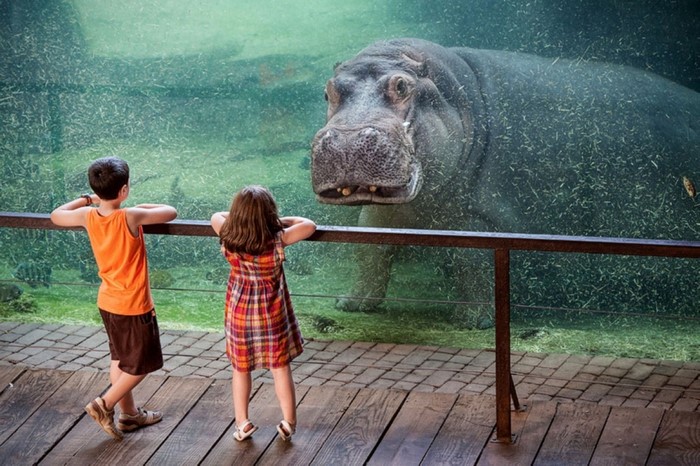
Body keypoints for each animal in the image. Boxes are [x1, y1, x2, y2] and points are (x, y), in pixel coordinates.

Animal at [310, 38, 699, 326]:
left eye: (402, 85)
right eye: (328, 90)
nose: (347, 140)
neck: (466, 99)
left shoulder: (479, 216)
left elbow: (471, 261)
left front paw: (471, 321)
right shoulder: (392, 211)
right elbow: (369, 249)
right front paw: (350, 303)